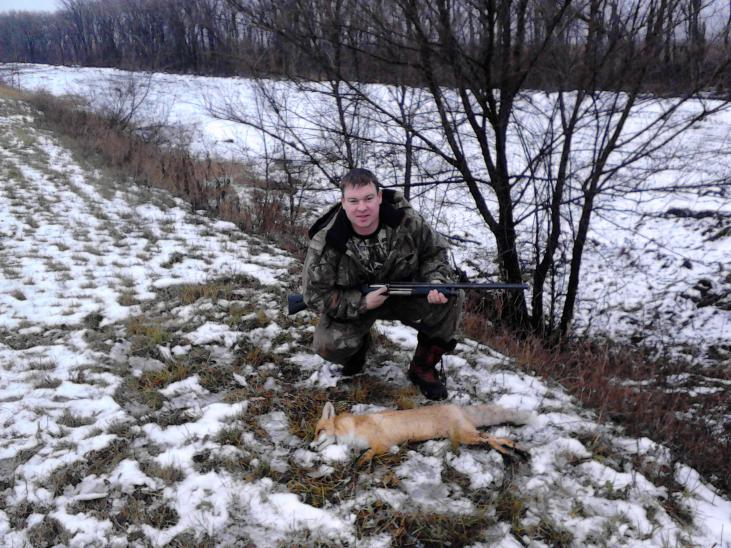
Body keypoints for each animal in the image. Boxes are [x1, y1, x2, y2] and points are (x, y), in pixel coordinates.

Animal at [313, 401, 532, 465]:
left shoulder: (383, 442)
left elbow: (371, 452)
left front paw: (361, 461)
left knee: (492, 439)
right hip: (469, 436)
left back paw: (515, 453)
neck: (353, 428)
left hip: (465, 437)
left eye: (319, 431)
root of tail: (457, 407)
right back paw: (514, 452)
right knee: (494, 439)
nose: (309, 446)